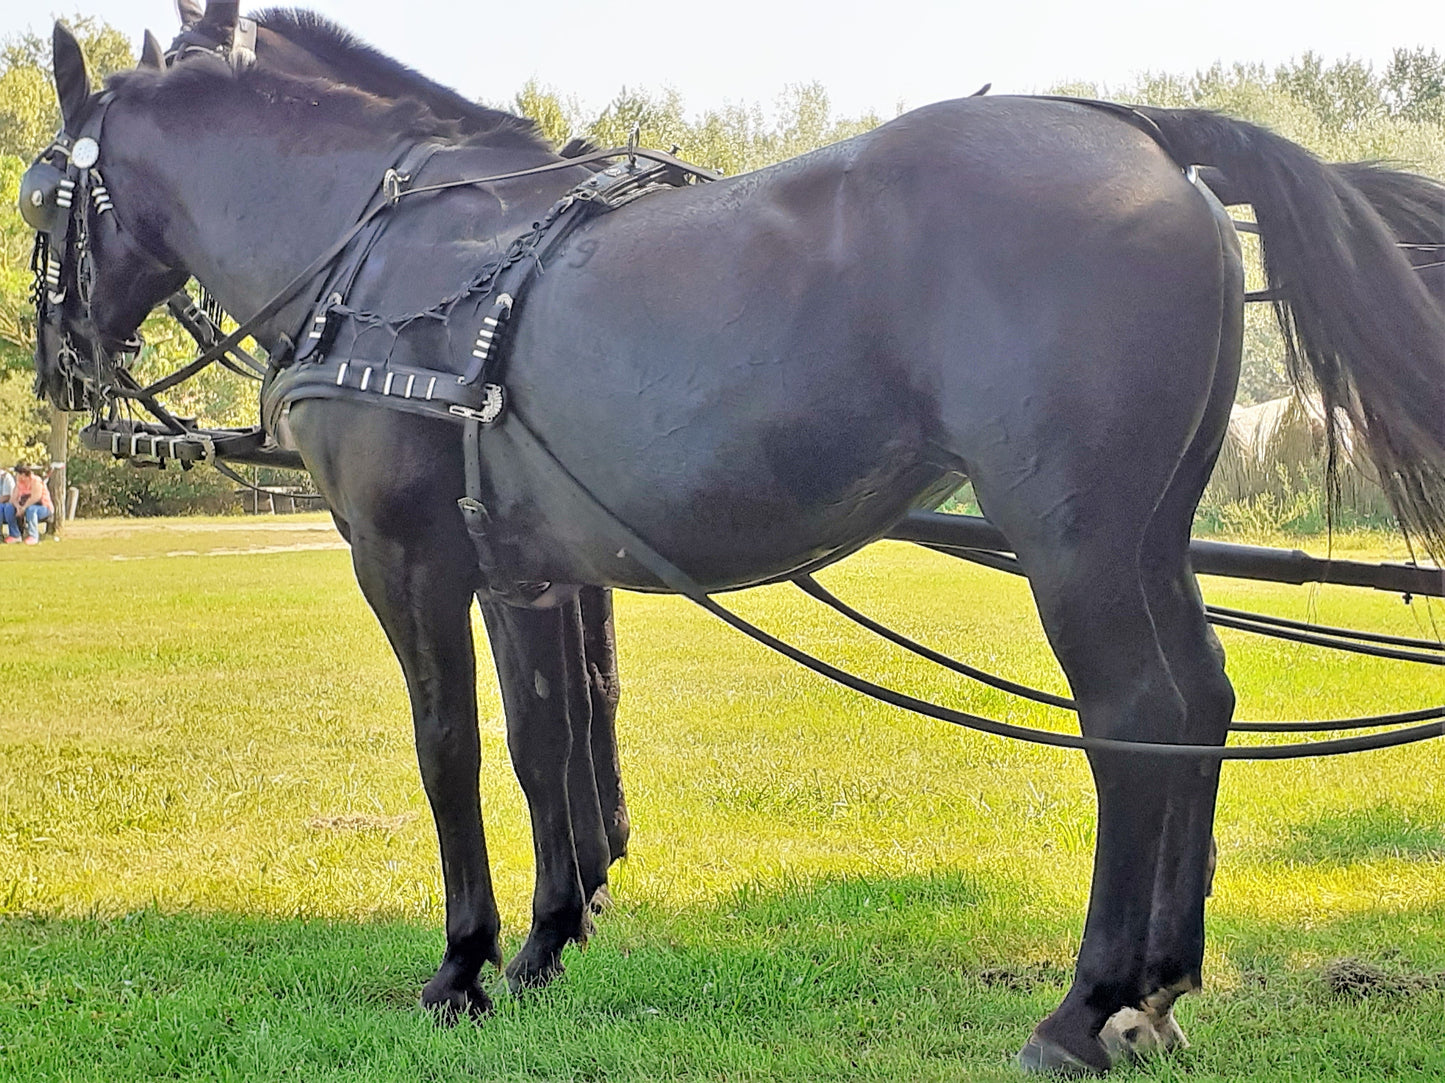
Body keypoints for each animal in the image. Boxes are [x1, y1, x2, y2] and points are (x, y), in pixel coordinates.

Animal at [24, 19, 1445, 1074]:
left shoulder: (406, 558)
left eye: (40, 198)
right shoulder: (526, 571)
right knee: (1197, 707)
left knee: (1133, 719)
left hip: (1073, 535)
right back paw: (1158, 987)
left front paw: (462, 965)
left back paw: (1087, 1004)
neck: (386, 251)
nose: (59, 368)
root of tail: (1142, 130)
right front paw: (544, 943)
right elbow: (545, 745)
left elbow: (448, 754)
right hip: (1148, 533)